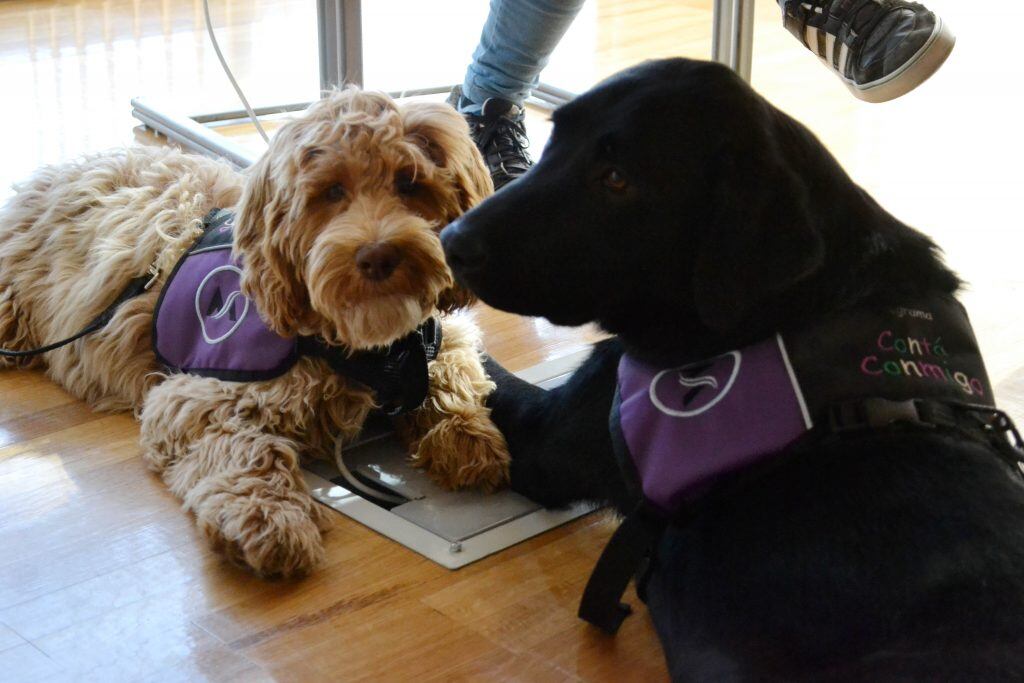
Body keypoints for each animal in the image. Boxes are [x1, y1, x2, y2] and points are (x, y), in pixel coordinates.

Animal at [0, 89, 509, 577]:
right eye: (332, 191)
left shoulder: (437, 338)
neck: (362, 347)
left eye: (409, 183)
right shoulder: (199, 396)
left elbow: (454, 370)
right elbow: (246, 450)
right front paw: (269, 518)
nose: (379, 256)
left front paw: (465, 435)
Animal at [444, 60, 1024, 683]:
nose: (451, 242)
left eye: (617, 179)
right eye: (554, 142)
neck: (799, 305)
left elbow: (478, 369)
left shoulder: (547, 440)